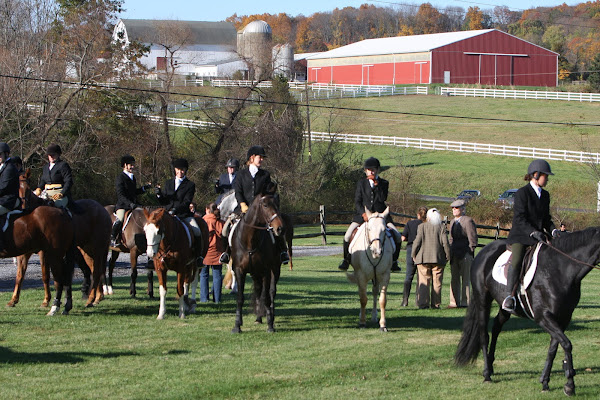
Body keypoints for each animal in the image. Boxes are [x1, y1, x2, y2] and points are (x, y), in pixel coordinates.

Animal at [9, 170, 111, 308]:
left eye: (28, 189)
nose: (23, 207)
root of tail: (103, 210)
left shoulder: (44, 253)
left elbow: (45, 275)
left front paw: (46, 300)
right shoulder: (24, 253)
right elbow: (19, 275)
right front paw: (13, 300)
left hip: (97, 249)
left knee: (97, 271)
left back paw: (92, 298)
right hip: (86, 250)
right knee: (95, 269)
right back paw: (97, 297)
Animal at [230, 186, 286, 332]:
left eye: (277, 204)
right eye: (265, 205)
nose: (280, 228)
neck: (250, 241)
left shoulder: (266, 271)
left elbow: (266, 297)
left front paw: (270, 325)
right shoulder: (239, 271)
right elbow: (240, 298)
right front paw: (237, 325)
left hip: (274, 269)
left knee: (271, 293)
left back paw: (270, 316)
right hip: (255, 274)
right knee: (258, 290)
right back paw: (259, 318)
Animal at [454, 228, 600, 396]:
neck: (560, 269)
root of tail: (484, 251)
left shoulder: (563, 318)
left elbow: (554, 348)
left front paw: (545, 382)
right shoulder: (543, 317)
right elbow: (567, 344)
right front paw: (569, 384)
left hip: (504, 307)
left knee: (497, 326)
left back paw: (490, 366)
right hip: (482, 300)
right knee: (484, 335)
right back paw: (486, 374)